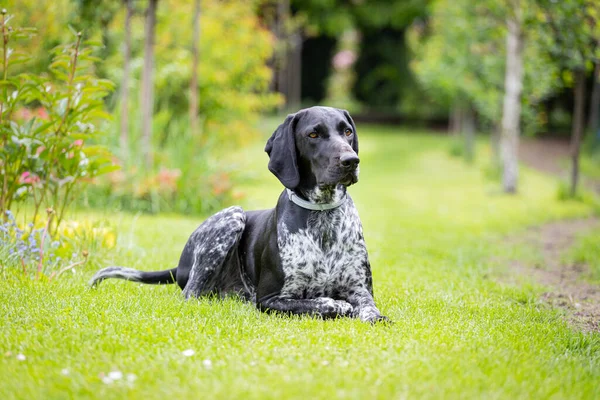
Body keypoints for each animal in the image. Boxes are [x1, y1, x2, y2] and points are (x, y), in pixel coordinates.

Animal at [89, 105, 390, 322]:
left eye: (347, 132)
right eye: (313, 134)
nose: (351, 161)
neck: (322, 217)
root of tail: (181, 264)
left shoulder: (360, 290)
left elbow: (369, 309)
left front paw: (373, 316)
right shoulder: (269, 300)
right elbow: (321, 304)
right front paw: (336, 304)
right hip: (232, 217)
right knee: (190, 295)